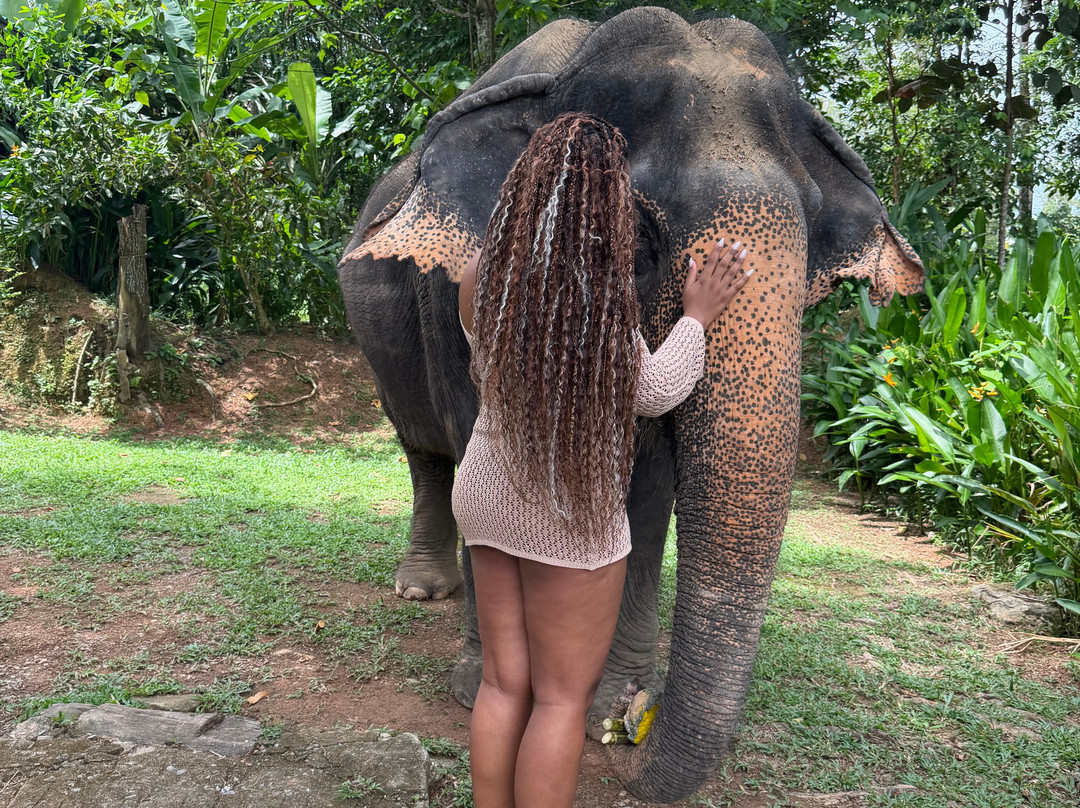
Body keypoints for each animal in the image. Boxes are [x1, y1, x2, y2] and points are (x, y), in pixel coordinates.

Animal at [337, 7, 923, 802]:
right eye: (641, 230)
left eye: (811, 222)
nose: (638, 725)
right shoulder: (455, 292)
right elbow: (477, 436)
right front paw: (477, 689)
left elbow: (649, 494)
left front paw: (607, 703)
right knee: (427, 452)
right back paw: (424, 591)